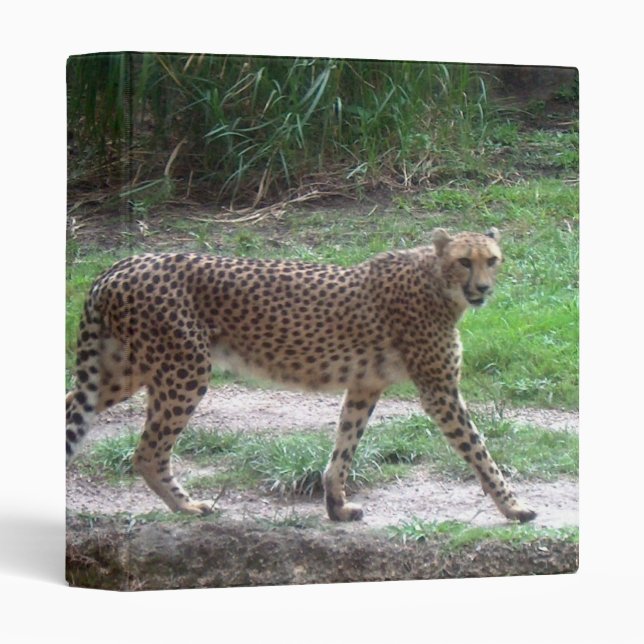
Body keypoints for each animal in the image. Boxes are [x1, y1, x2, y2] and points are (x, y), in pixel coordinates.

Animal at [66, 227, 536, 523]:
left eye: (492, 260)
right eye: (464, 261)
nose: (483, 289)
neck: (436, 279)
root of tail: (121, 264)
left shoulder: (365, 385)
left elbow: (344, 447)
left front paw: (337, 507)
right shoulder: (439, 390)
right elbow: (479, 450)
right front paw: (513, 508)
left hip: (125, 369)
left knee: (72, 406)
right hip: (183, 368)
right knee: (147, 451)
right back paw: (187, 508)